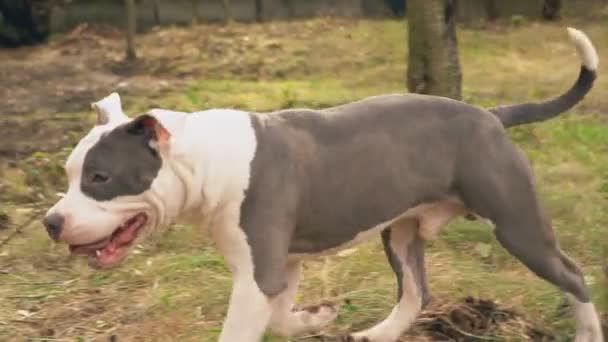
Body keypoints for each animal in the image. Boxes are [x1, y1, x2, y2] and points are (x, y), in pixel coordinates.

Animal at [44, 28, 604, 340]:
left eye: (100, 178)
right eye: (69, 174)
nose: (51, 222)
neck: (206, 158)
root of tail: (490, 116)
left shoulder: (258, 276)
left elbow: (248, 327)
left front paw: (314, 317)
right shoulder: (278, 268)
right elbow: (281, 317)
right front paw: (319, 317)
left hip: (515, 223)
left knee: (574, 276)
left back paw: (586, 333)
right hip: (401, 232)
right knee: (414, 293)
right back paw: (374, 335)